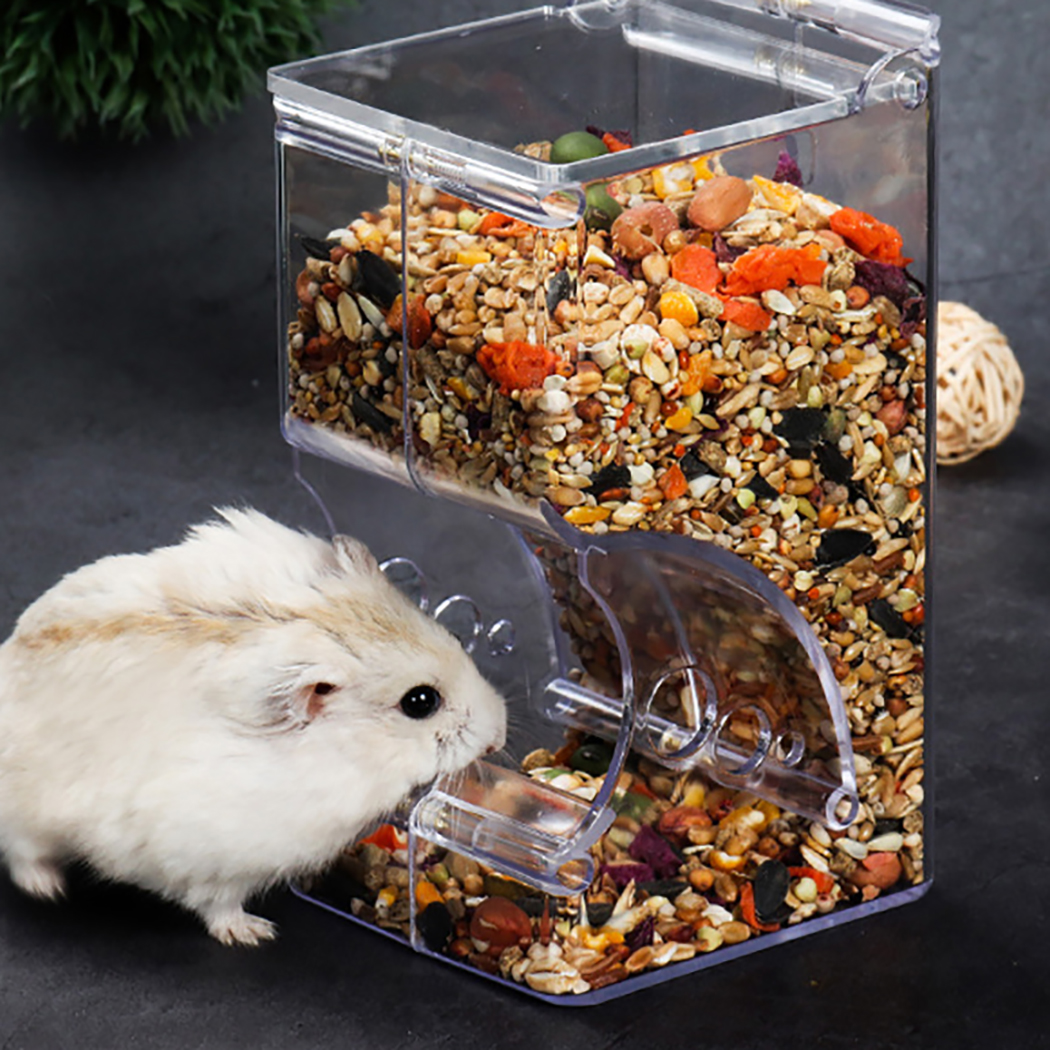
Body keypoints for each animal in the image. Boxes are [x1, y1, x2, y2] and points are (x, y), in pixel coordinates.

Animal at [0, 508, 506, 945]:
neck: (349, 754)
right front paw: (256, 934)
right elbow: (218, 904)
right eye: (420, 702)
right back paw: (48, 888)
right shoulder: (213, 857)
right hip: (28, 814)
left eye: (457, 637)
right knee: (23, 851)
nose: (499, 733)